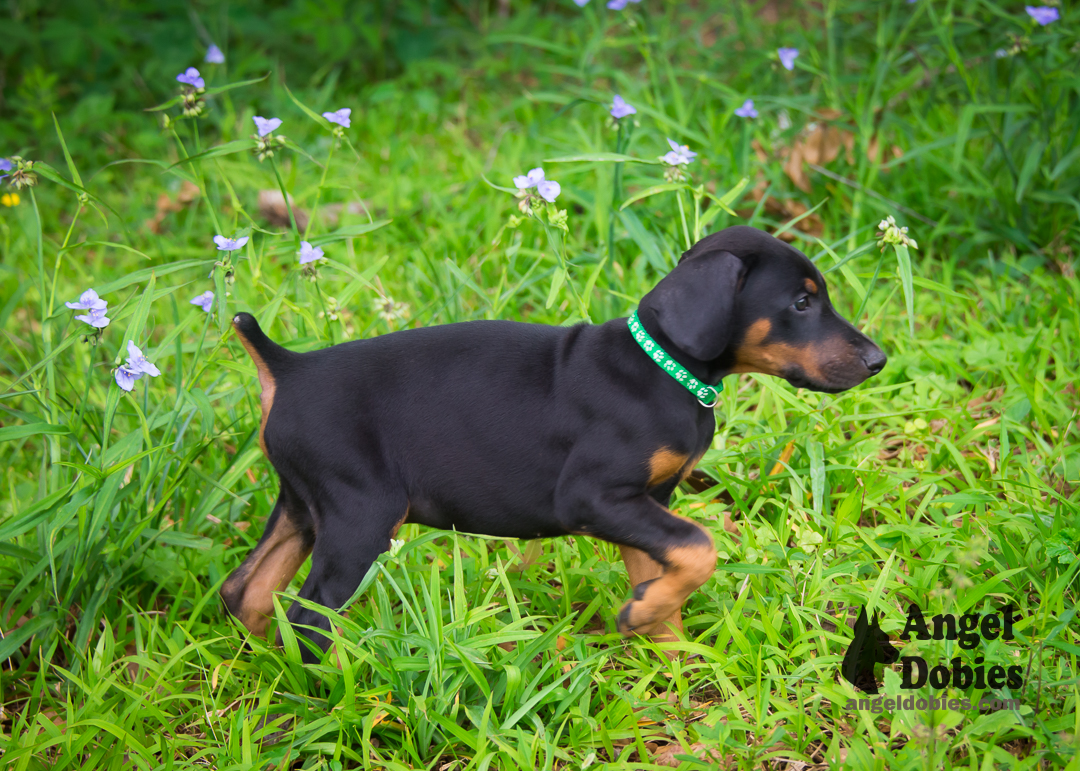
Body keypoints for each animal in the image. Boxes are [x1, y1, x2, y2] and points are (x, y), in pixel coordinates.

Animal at [221, 223, 885, 660]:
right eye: (801, 302)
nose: (878, 360)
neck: (662, 369)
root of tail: (288, 369)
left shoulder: (647, 502)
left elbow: (662, 566)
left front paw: (669, 649)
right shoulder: (593, 496)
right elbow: (699, 548)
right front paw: (647, 620)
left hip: (305, 506)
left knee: (245, 592)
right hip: (361, 514)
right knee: (308, 617)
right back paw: (349, 684)